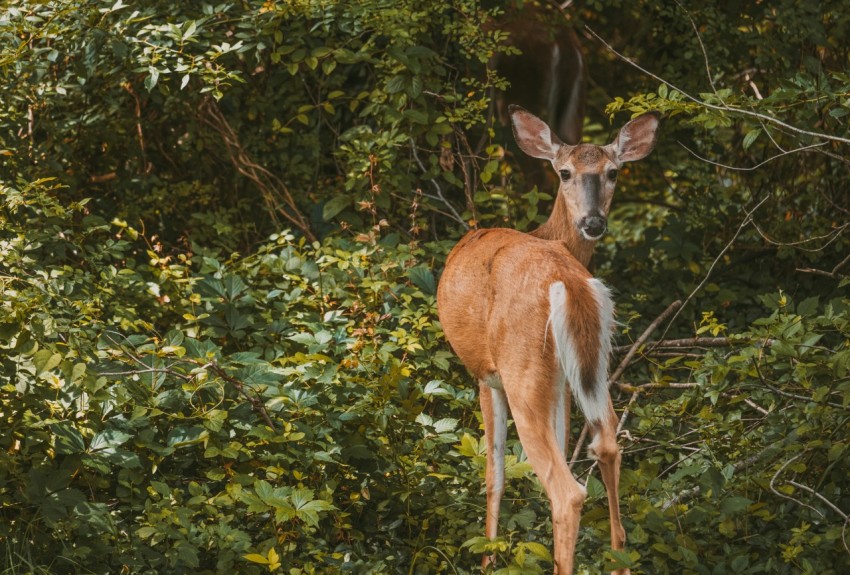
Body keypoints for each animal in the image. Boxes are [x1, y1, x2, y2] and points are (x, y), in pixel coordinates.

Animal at [436, 105, 659, 574]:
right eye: (565, 172)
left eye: (613, 172)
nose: (593, 221)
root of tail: (567, 279)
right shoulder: (561, 383)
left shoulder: (486, 374)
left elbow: (495, 475)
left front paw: (488, 558)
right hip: (587, 365)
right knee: (607, 446)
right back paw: (619, 559)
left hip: (521, 367)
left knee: (567, 490)